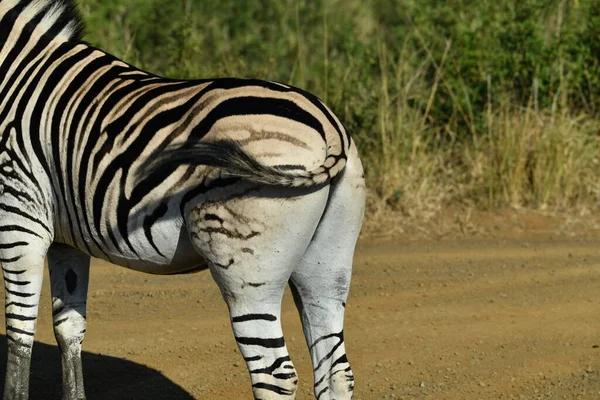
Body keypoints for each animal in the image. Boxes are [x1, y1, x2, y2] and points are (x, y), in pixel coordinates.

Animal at [0, 0, 366, 398]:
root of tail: (328, 126)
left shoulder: (18, 214)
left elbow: (19, 330)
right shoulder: (66, 240)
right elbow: (68, 328)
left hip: (248, 272)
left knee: (274, 375)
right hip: (329, 261)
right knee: (335, 369)